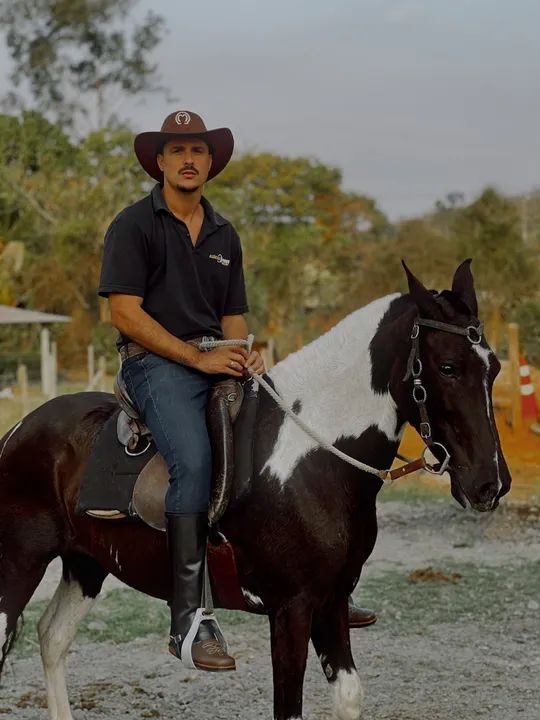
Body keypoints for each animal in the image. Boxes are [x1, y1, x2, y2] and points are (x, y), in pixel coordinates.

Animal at [0, 260, 511, 720]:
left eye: (496, 368)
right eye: (447, 367)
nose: (491, 483)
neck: (310, 456)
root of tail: (18, 431)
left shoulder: (332, 601)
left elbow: (348, 696)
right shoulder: (292, 609)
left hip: (86, 564)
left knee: (52, 637)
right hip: (21, 565)